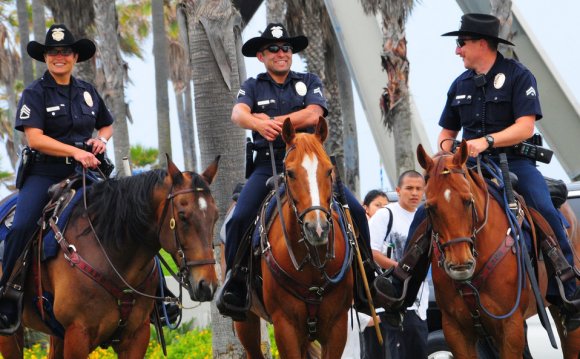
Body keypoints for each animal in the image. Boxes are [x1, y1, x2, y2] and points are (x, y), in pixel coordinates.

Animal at [0, 159, 220, 358]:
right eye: (182, 216)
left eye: (215, 217)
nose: (207, 285)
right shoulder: (78, 335)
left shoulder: (136, 336)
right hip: (11, 335)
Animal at [234, 117, 354, 358]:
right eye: (290, 173)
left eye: (329, 170)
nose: (317, 228)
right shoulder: (285, 327)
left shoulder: (338, 326)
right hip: (246, 322)